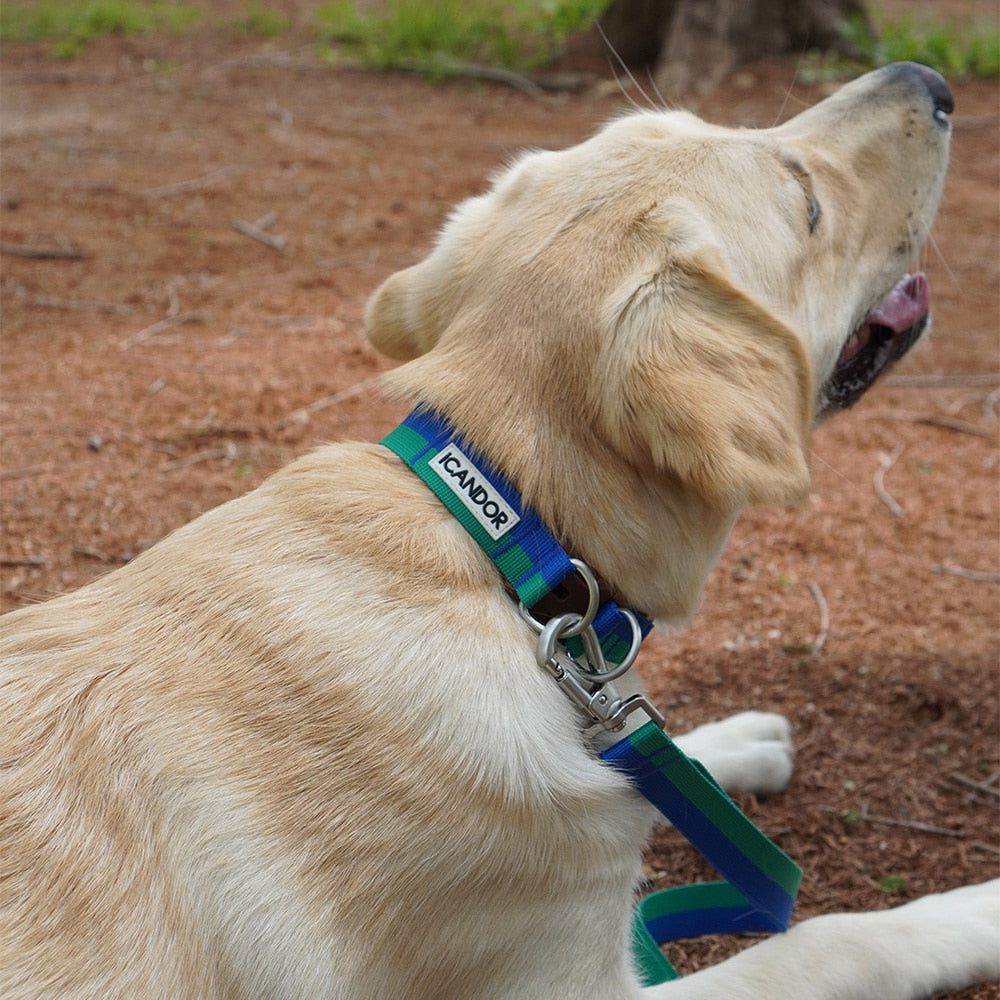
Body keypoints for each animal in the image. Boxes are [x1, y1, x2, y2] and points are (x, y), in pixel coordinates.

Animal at [1, 64, 1000, 1000]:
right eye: (808, 203)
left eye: (721, 122)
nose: (930, 81)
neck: (501, 542)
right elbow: (832, 942)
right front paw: (971, 913)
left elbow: (650, 742)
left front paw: (733, 746)